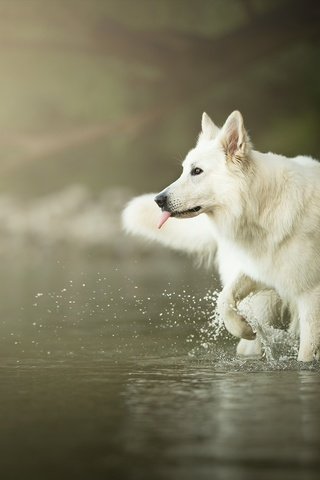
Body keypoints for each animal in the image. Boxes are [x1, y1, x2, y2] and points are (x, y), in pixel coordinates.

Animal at [123, 110, 320, 362]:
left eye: (196, 171)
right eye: (184, 169)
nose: (158, 200)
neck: (265, 206)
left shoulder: (311, 297)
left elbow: (305, 354)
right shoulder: (261, 270)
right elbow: (224, 299)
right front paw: (243, 327)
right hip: (263, 303)